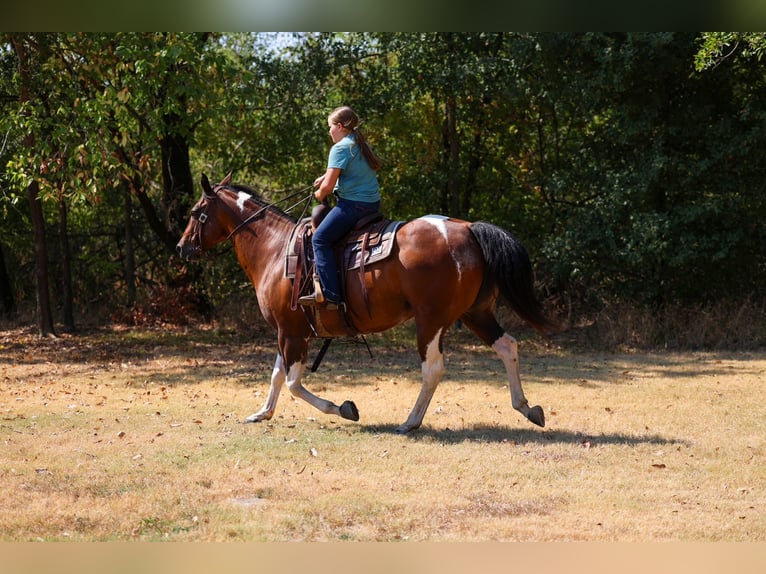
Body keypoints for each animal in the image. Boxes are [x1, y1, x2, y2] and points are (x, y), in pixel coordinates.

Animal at [176, 173, 559, 433]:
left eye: (196, 212)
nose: (182, 247)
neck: (275, 248)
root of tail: (467, 229)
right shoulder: (290, 330)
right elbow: (276, 376)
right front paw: (262, 413)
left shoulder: (292, 334)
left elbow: (293, 384)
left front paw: (344, 408)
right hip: (475, 313)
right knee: (507, 346)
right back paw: (527, 408)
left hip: (432, 320)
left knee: (433, 369)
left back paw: (410, 421)